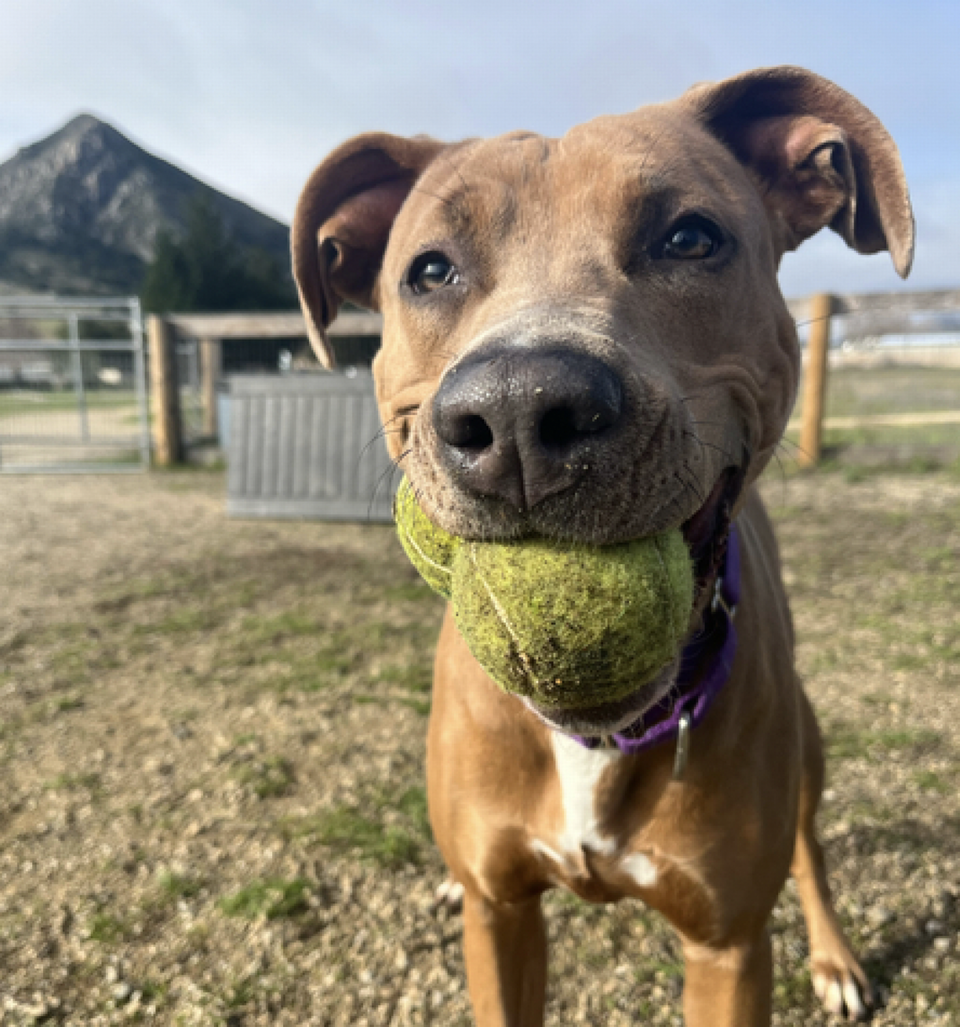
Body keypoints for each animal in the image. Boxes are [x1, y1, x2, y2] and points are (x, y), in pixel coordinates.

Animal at [291, 68, 915, 1022]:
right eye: (429, 270)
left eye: (689, 237)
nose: (517, 410)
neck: (591, 742)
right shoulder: (500, 915)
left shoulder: (728, 948)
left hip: (808, 743)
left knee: (811, 842)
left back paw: (836, 955)